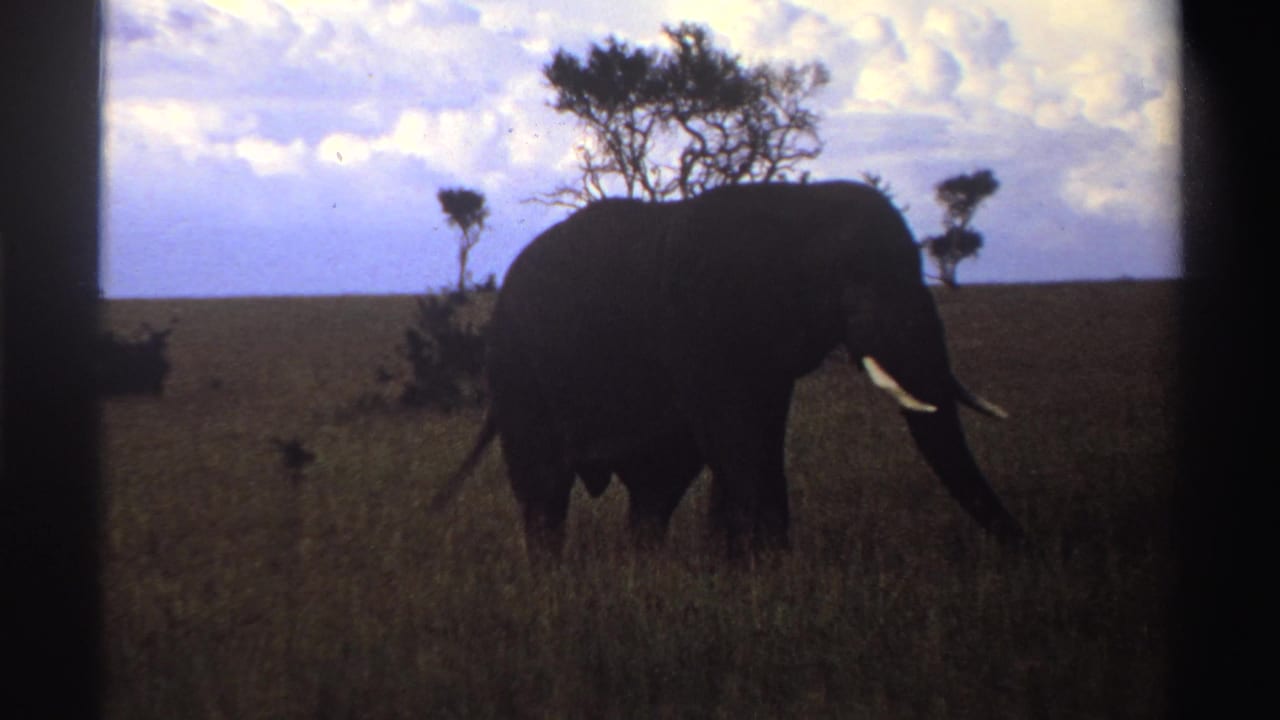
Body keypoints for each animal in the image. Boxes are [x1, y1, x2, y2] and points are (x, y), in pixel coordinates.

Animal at [431, 180, 1024, 560]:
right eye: (855, 280)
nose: (1022, 549)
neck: (796, 204)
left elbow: (760, 434)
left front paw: (745, 567)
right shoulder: (699, 324)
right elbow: (736, 437)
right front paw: (771, 571)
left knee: (656, 490)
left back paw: (646, 573)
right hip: (518, 371)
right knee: (545, 488)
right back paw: (553, 579)